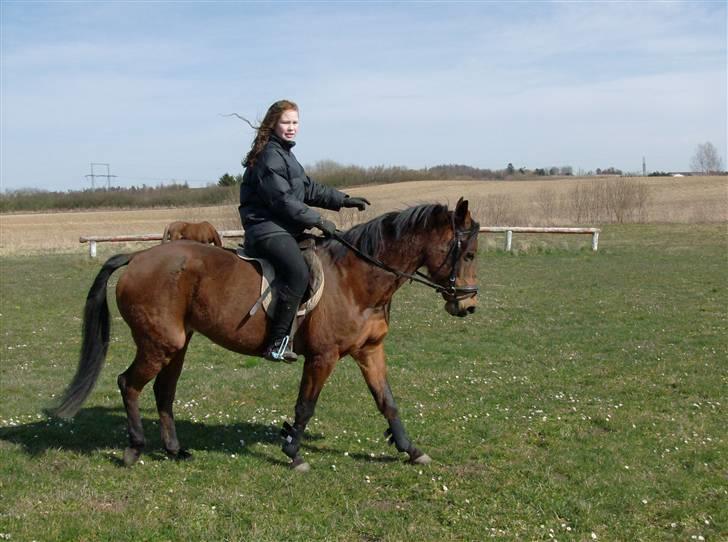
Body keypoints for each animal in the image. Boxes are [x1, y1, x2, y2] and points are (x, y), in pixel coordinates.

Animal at [50, 198, 480, 470]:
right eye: (469, 254)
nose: (469, 305)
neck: (356, 279)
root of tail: (138, 257)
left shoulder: (370, 350)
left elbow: (387, 402)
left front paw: (411, 450)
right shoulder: (322, 356)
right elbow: (305, 406)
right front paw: (294, 452)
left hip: (177, 344)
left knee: (163, 391)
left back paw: (174, 450)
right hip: (159, 344)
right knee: (129, 384)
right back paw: (135, 449)